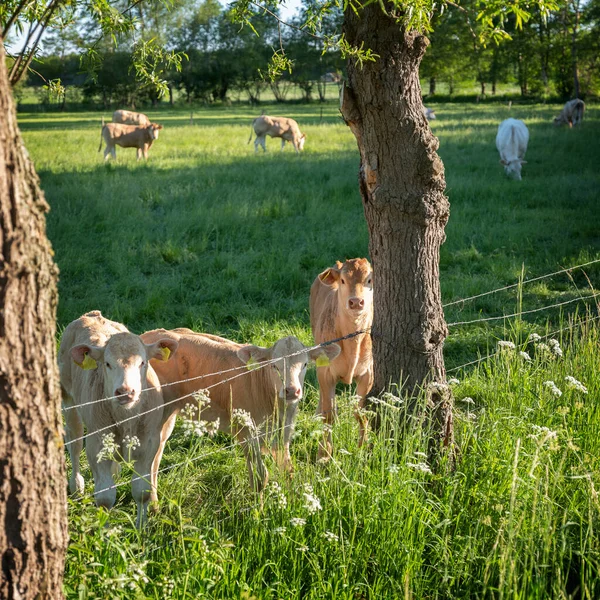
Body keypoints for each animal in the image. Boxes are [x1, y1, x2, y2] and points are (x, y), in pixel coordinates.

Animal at [59, 312, 179, 528]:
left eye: (142, 362)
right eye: (107, 364)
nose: (125, 391)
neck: (126, 420)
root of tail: (91, 314)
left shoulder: (149, 445)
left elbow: (142, 492)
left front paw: (141, 528)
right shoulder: (97, 447)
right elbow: (105, 497)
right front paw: (105, 531)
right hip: (69, 403)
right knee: (74, 444)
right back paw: (77, 486)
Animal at [138, 328, 340, 492]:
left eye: (305, 365)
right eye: (274, 365)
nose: (291, 390)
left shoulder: (282, 434)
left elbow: (287, 470)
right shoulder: (247, 434)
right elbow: (260, 478)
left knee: (156, 455)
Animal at [312, 255, 372, 458]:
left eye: (369, 280)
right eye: (344, 280)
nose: (356, 302)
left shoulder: (369, 372)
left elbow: (359, 413)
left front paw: (363, 447)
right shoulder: (325, 372)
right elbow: (328, 414)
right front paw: (324, 454)